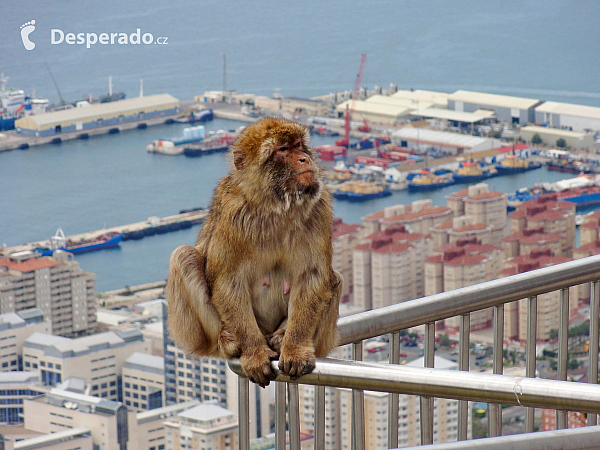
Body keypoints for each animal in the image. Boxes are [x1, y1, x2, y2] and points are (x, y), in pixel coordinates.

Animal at [166, 116, 340, 386]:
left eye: (299, 145)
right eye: (283, 149)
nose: (304, 158)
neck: (275, 205)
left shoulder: (320, 208)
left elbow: (312, 276)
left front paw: (296, 348)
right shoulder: (233, 215)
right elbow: (228, 282)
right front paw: (254, 354)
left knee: (334, 279)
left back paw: (280, 337)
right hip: (198, 336)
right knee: (183, 256)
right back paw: (227, 340)